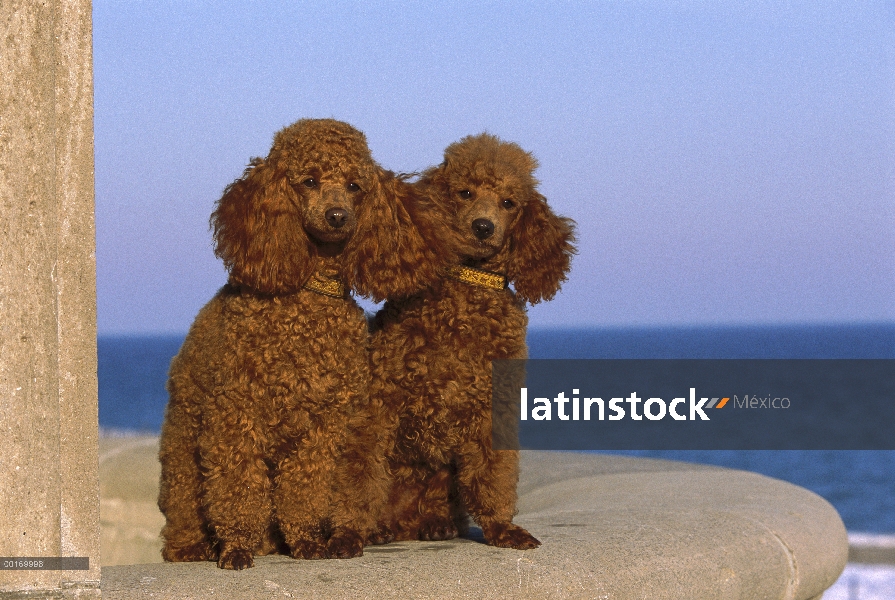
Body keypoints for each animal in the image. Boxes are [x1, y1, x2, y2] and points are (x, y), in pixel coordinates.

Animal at [158, 116, 448, 568]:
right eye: (309, 181)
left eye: (355, 186)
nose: (337, 216)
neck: (308, 296)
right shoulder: (234, 416)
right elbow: (238, 488)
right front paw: (237, 546)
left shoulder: (324, 425)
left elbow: (305, 488)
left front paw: (307, 541)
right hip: (183, 451)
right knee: (184, 505)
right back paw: (192, 547)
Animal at [370, 134, 576, 552]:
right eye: (464, 193)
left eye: (509, 203)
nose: (483, 226)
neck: (468, 289)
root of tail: (404, 526)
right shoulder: (386, 400)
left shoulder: (494, 407)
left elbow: (493, 474)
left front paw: (502, 528)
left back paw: (436, 524)